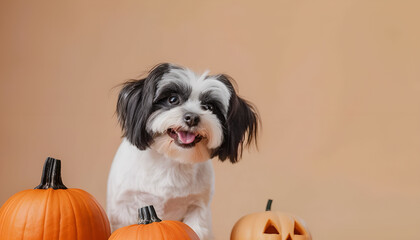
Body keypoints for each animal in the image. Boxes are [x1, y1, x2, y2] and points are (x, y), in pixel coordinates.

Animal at [107, 62, 260, 239]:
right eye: (173, 99)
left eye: (209, 107)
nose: (192, 117)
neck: (170, 161)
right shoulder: (123, 207)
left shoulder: (197, 207)